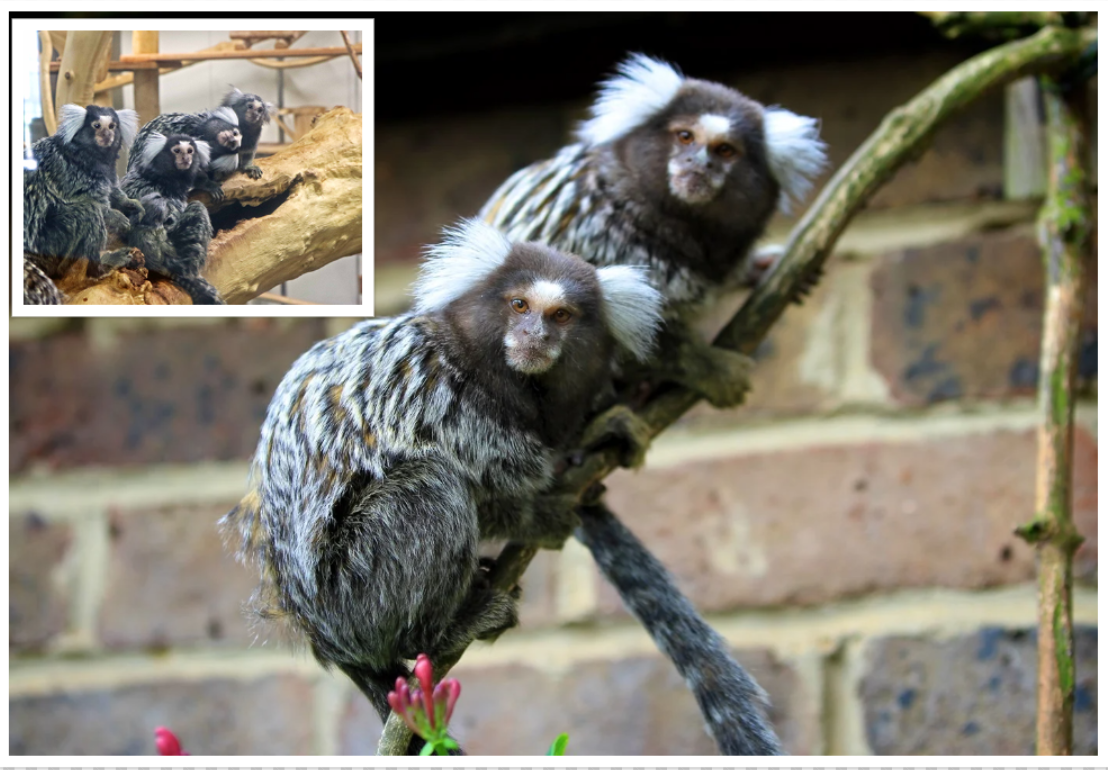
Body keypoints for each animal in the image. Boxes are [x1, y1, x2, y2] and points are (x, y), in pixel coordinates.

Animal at [23, 104, 143, 282]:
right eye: (97, 126)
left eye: (112, 126)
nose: (107, 134)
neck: (87, 153)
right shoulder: (68, 171)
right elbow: (92, 203)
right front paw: (116, 216)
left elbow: (112, 190)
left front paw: (128, 203)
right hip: (48, 245)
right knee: (88, 212)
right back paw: (101, 267)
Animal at [220, 220, 663, 741]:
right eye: (519, 305)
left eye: (561, 315)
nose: (534, 334)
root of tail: (314, 629)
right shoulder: (452, 408)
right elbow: (483, 493)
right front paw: (543, 516)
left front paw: (599, 433)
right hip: (352, 588)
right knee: (432, 485)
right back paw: (445, 631)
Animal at [480, 53, 828, 409]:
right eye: (685, 137)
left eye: (725, 150)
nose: (699, 163)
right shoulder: (600, 237)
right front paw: (712, 370)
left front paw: (759, 268)